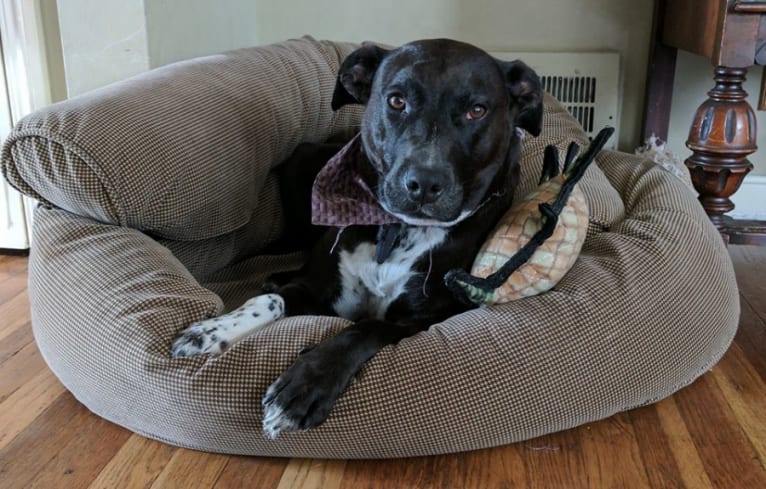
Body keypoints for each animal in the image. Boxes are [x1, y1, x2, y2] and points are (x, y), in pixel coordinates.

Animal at [174, 39, 544, 438]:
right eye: (396, 101)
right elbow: (272, 300)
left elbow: (367, 328)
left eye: (477, 110)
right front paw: (212, 330)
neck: (398, 231)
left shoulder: (426, 320)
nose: (423, 183)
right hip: (302, 164)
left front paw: (308, 383)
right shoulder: (318, 290)